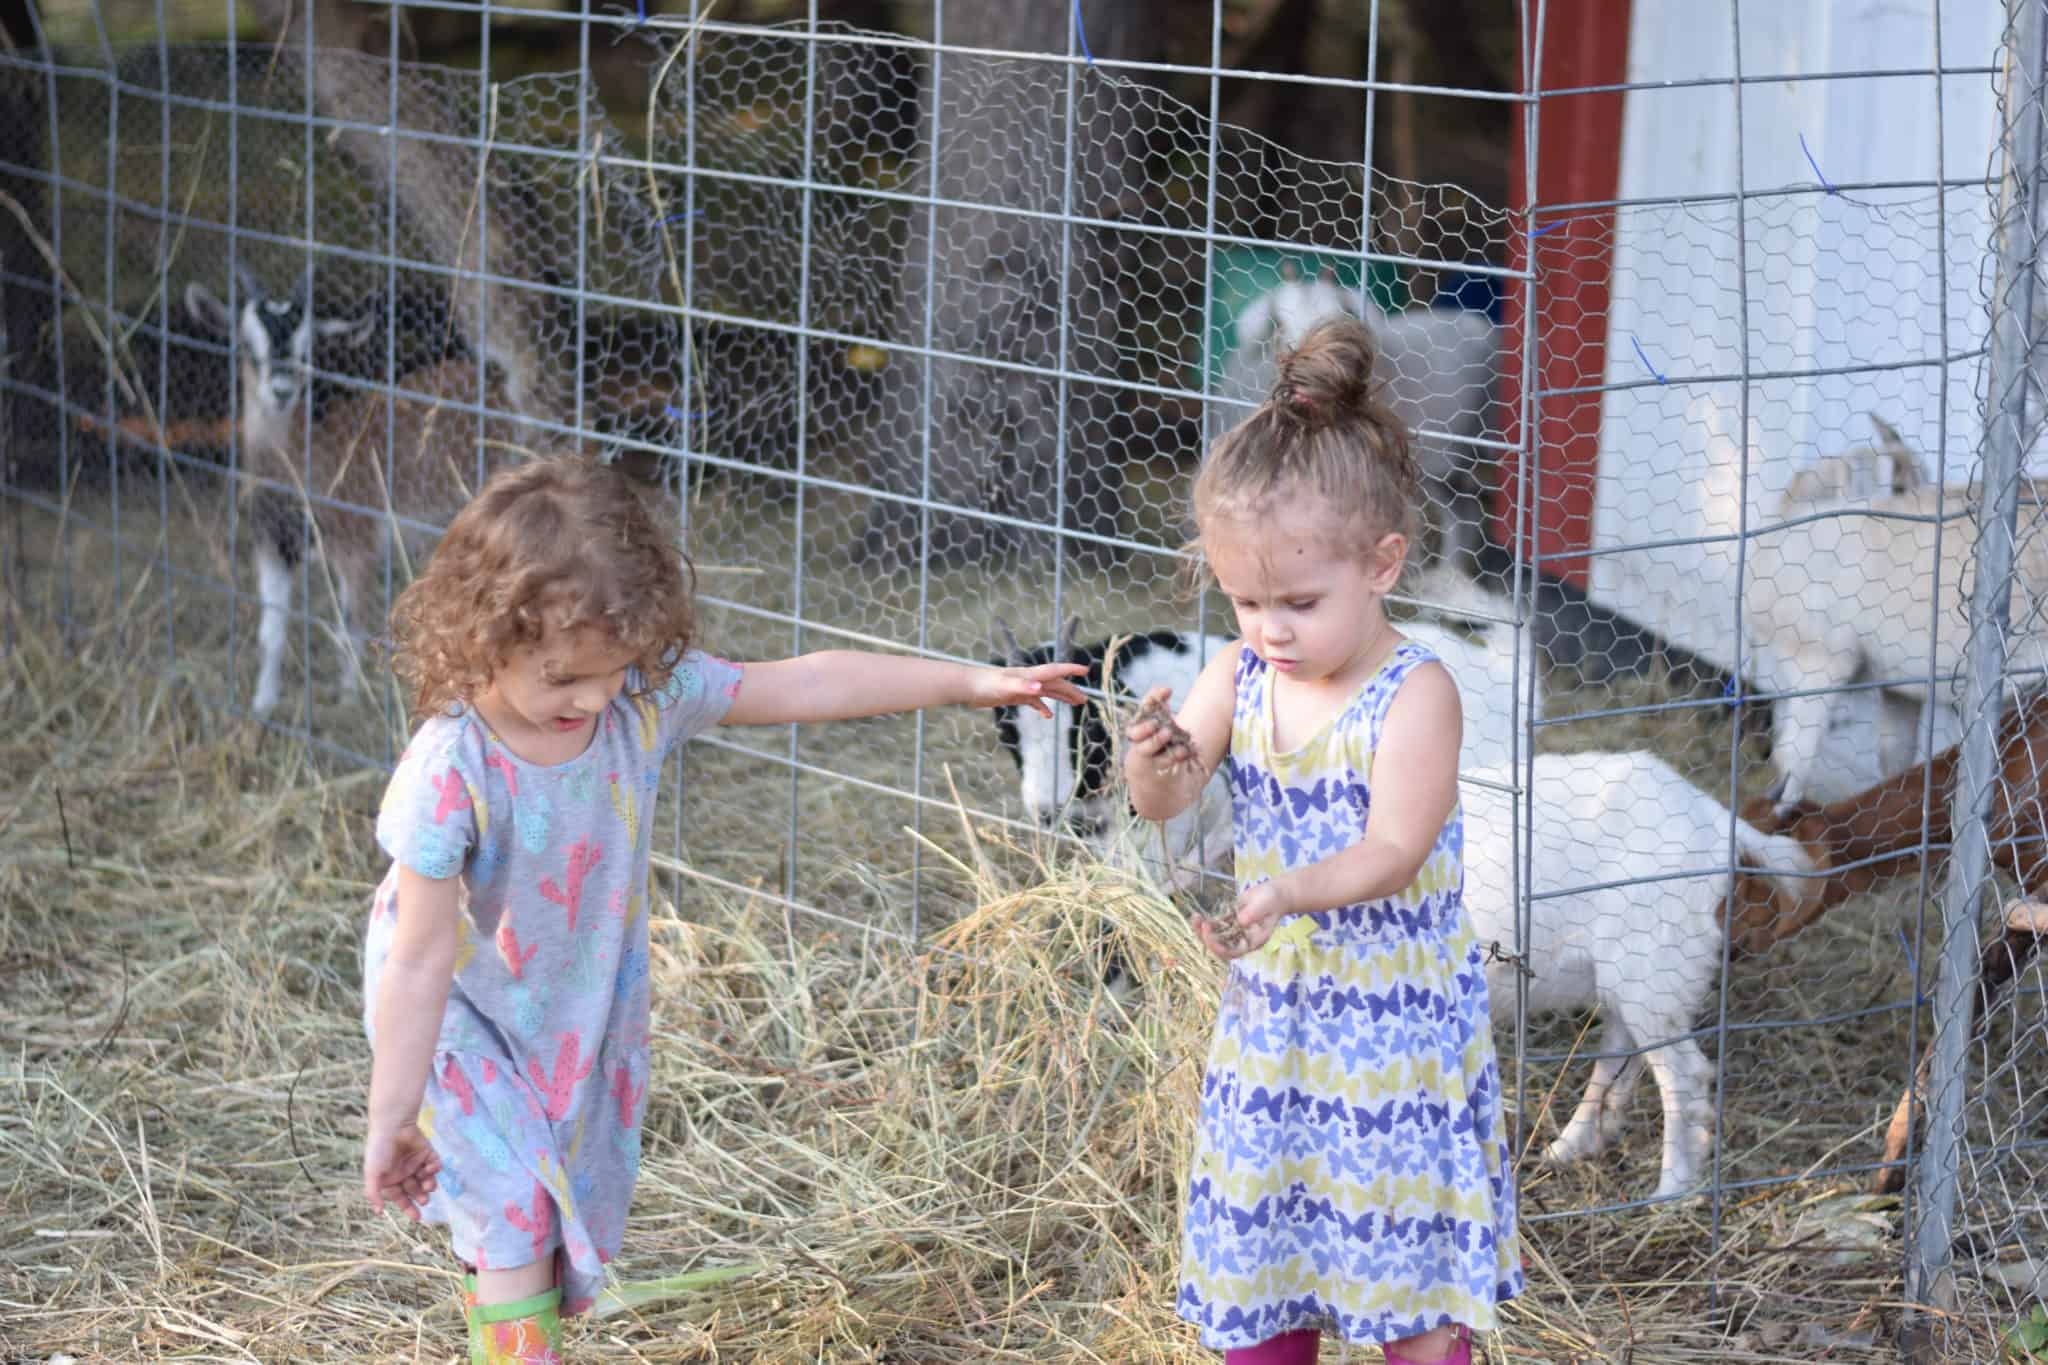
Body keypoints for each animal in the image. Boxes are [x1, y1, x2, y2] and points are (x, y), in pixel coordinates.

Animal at [1466, 753, 1818, 1203]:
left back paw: (1669, 1189)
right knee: (1619, 1054)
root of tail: (1713, 817)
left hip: (1654, 972)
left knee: (1684, 1074)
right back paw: (1569, 1147)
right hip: (1635, 979)